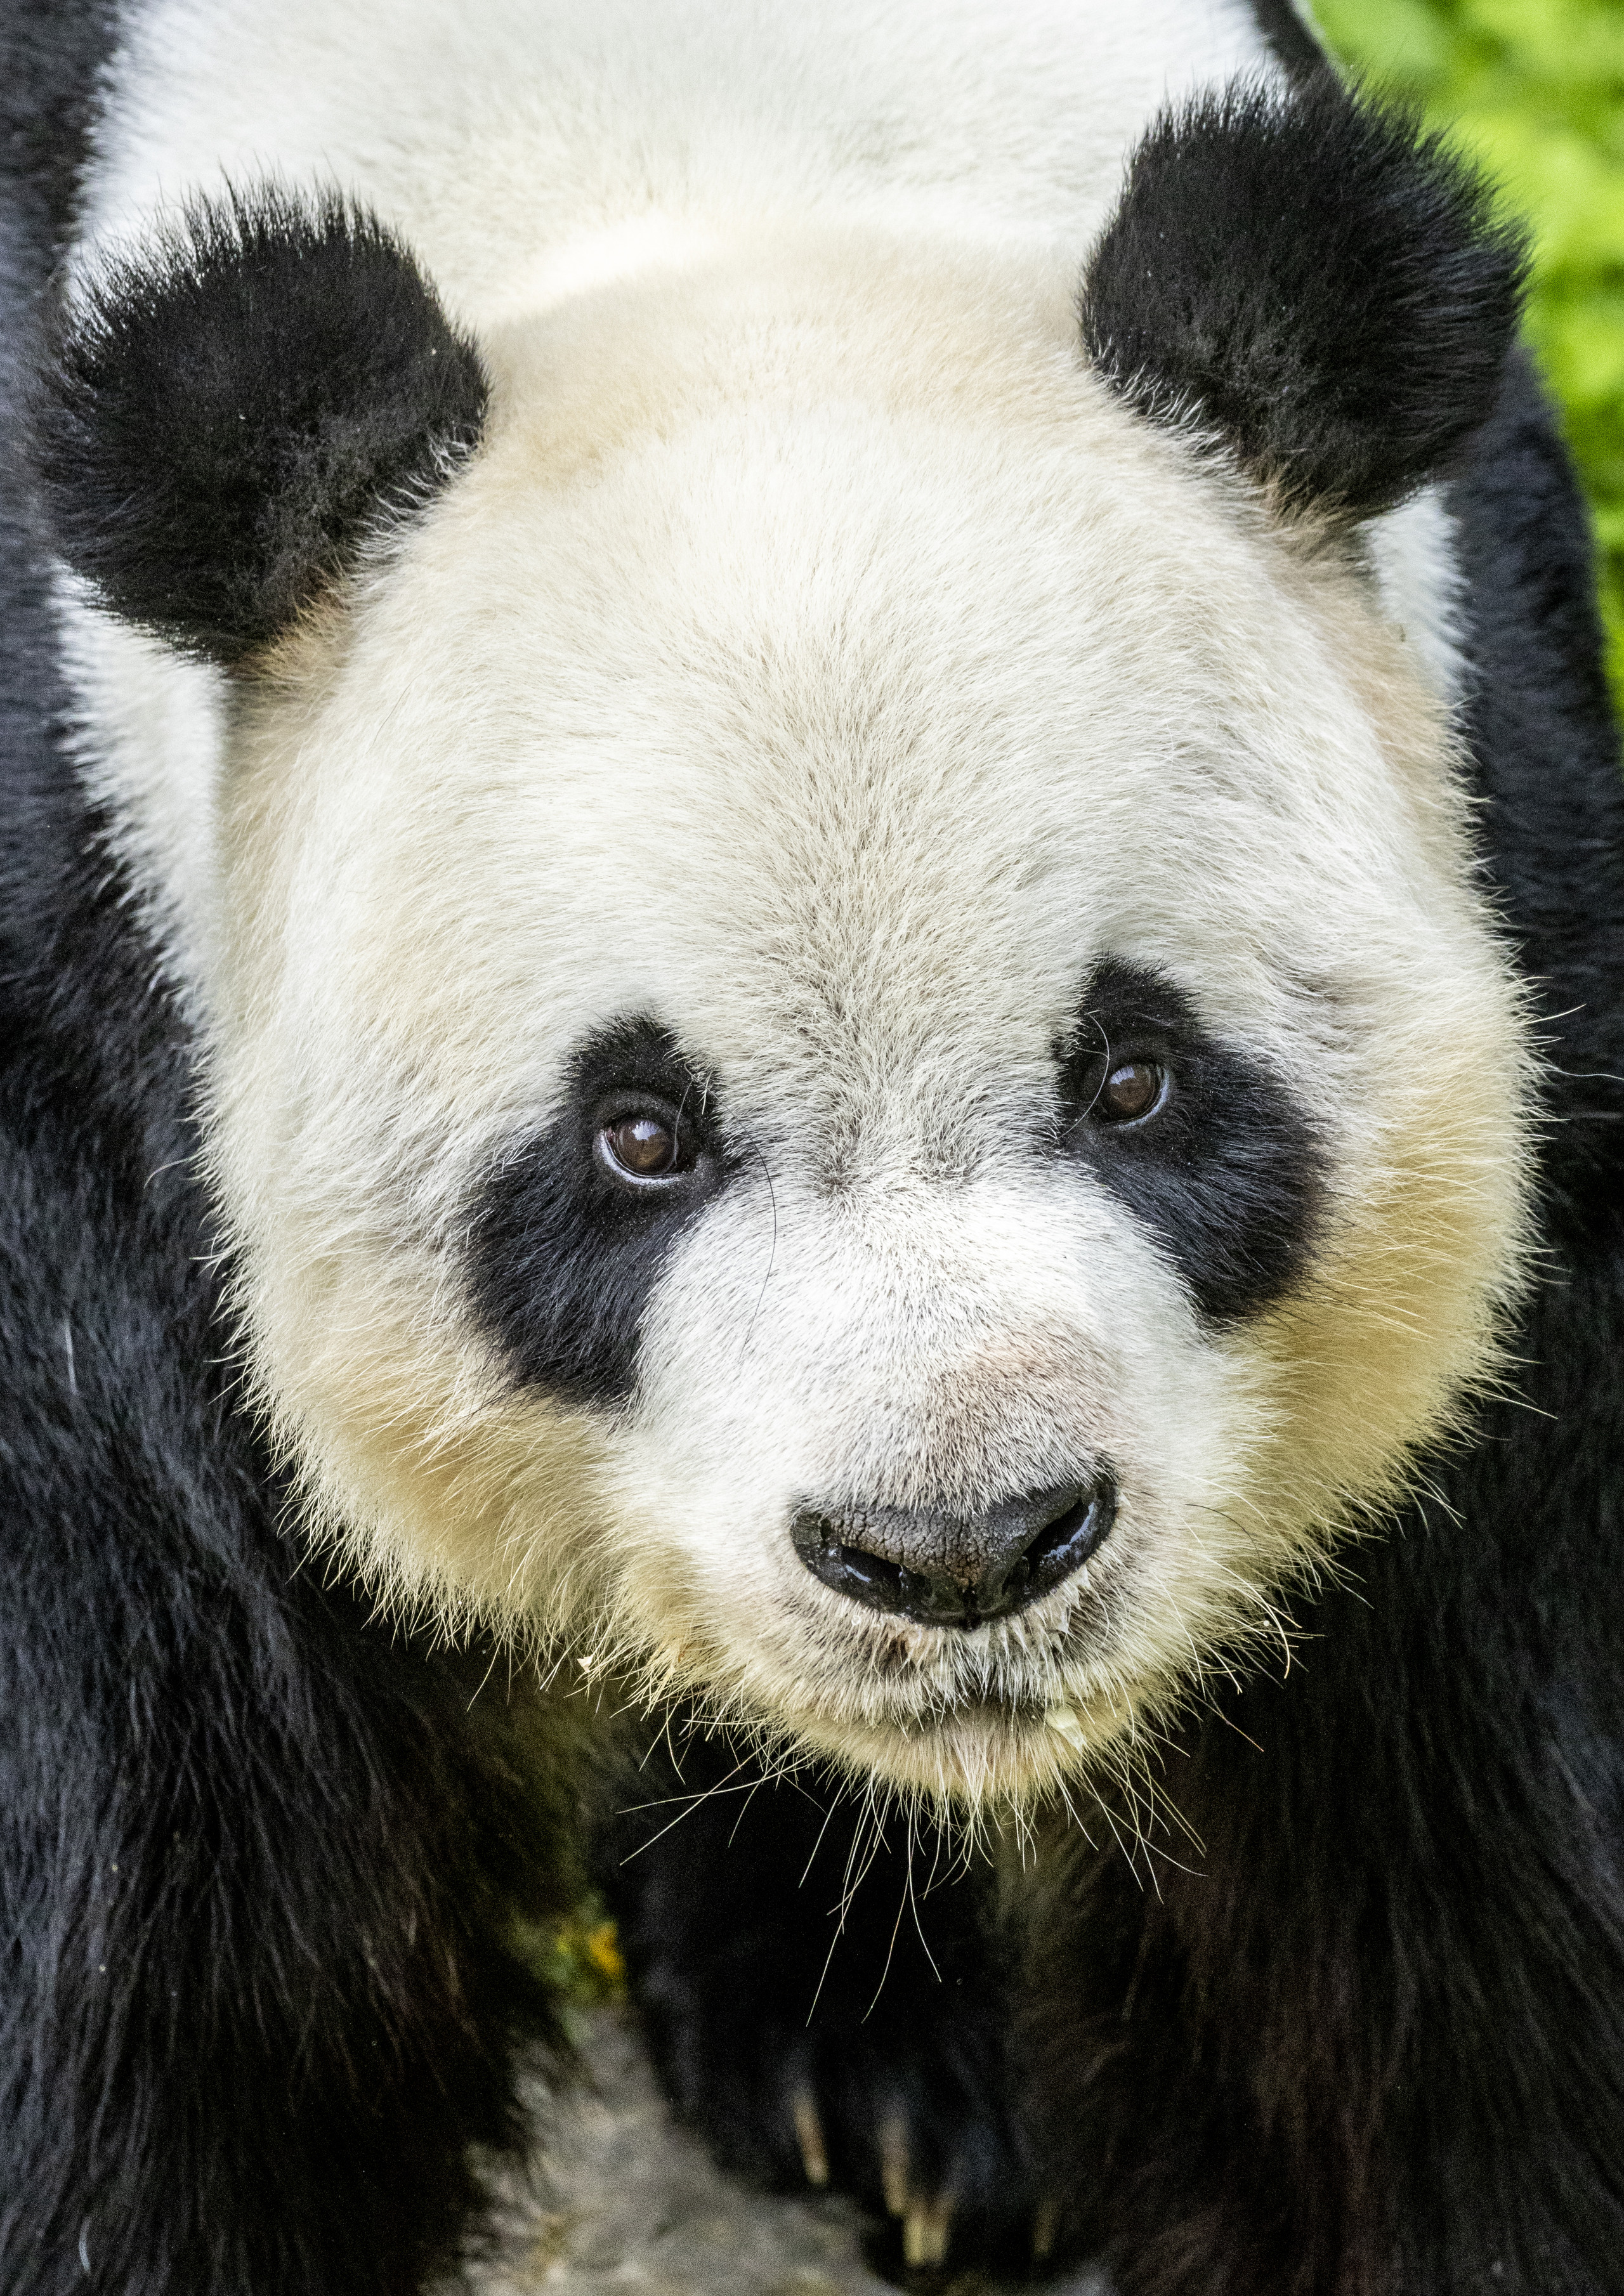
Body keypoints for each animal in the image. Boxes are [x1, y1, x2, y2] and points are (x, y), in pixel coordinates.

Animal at [3, 0, 1622, 2288]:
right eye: (638, 1135)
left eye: (1134, 1076)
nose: (960, 1551)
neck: (696, 150)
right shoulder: (94, 1008)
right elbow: (160, 1899)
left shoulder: (1506, 795)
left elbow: (1441, 1889)